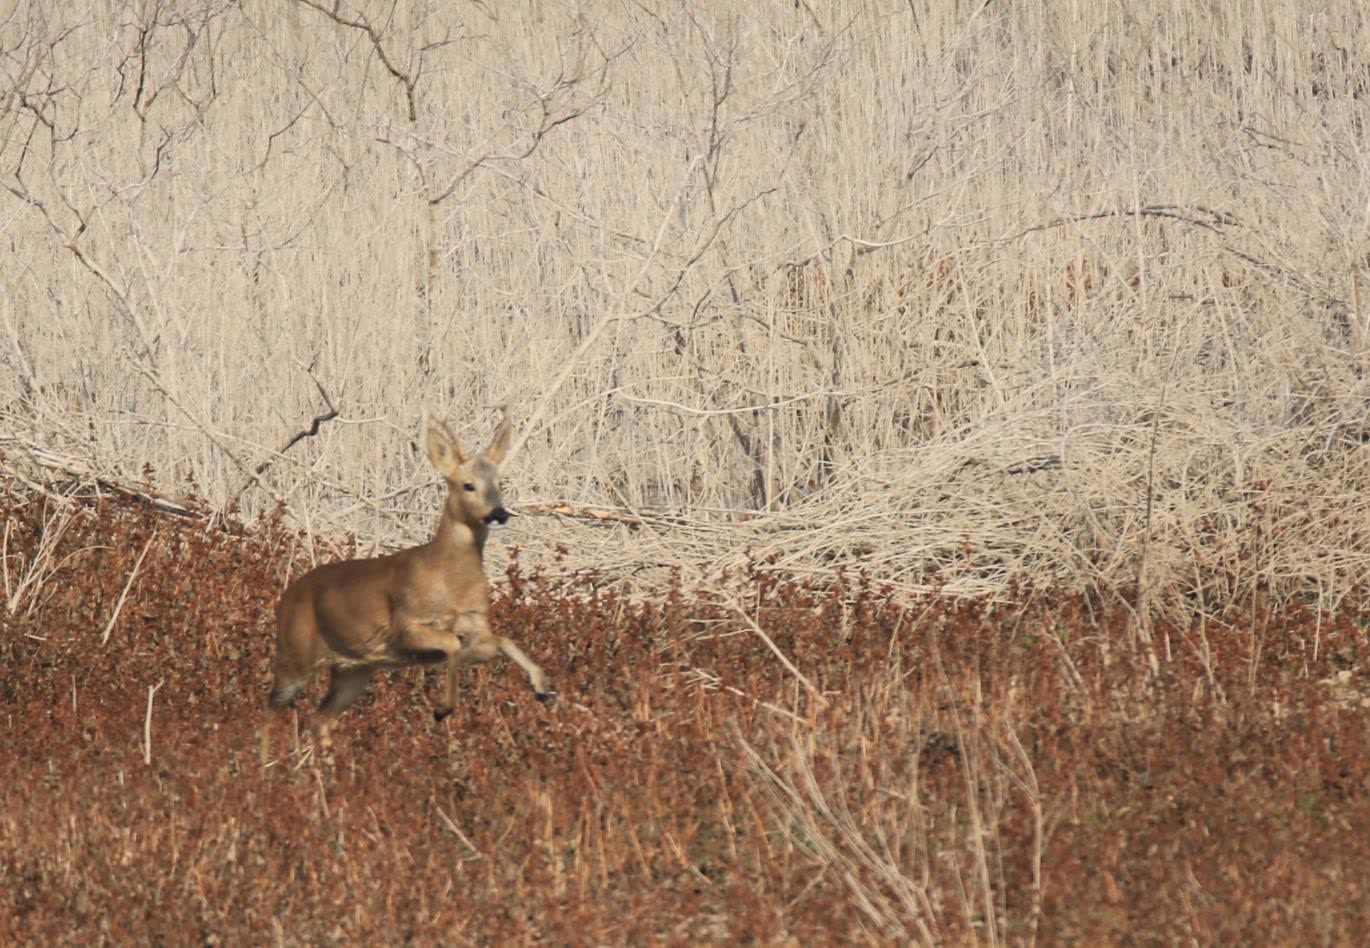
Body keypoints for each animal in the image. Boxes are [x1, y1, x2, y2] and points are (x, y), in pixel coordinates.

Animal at [258, 410, 548, 767]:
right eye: (468, 485)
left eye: (500, 484)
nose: (499, 513)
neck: (449, 579)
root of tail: (285, 597)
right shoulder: (406, 625)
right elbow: (451, 643)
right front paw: (443, 708)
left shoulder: (476, 627)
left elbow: (502, 640)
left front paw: (543, 688)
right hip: (296, 653)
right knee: (270, 708)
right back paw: (264, 767)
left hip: (354, 669)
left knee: (320, 716)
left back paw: (329, 768)